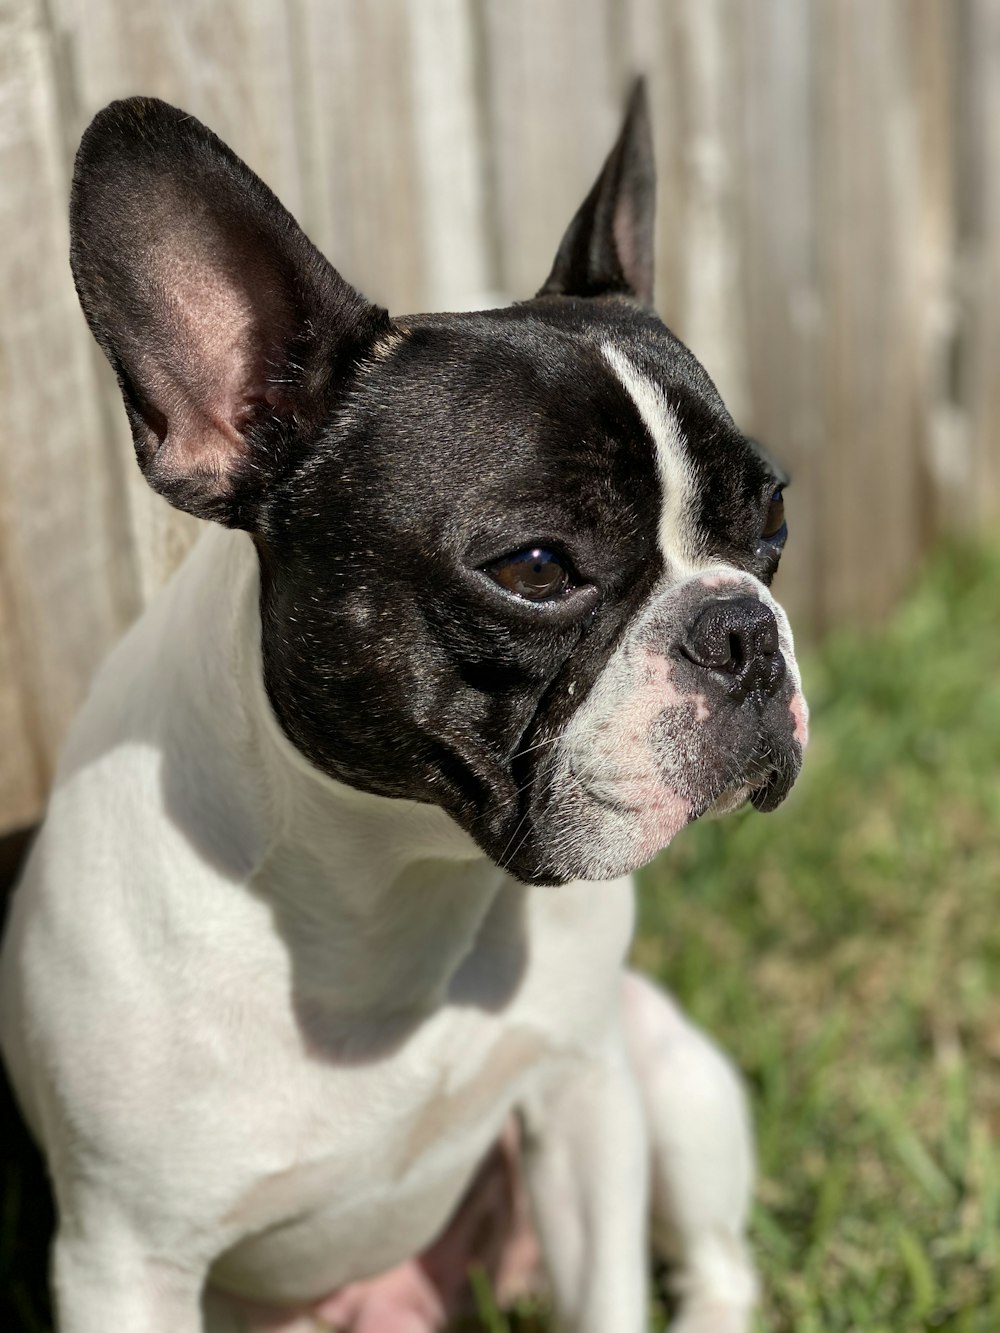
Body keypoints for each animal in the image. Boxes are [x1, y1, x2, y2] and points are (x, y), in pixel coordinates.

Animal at [0, 85, 810, 1333]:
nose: (741, 629)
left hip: (660, 1063)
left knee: (719, 1259)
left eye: (769, 520)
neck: (393, 875)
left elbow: (610, 1292)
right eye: (535, 567)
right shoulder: (121, 1259)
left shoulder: (585, 1095)